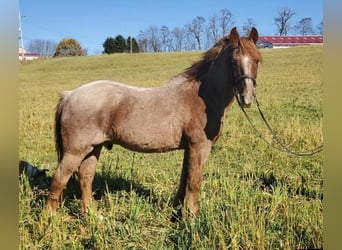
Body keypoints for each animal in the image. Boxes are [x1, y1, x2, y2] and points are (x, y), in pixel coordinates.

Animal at [45, 27, 262, 219]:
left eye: (257, 60)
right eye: (233, 61)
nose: (247, 98)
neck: (201, 97)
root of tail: (69, 95)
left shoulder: (189, 149)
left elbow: (184, 181)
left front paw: (178, 213)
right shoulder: (199, 147)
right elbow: (194, 182)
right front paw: (192, 218)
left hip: (93, 148)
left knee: (86, 177)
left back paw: (93, 215)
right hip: (75, 151)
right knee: (59, 179)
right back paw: (50, 219)